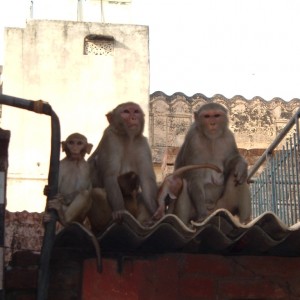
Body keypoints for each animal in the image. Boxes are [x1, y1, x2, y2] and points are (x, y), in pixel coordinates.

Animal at [88, 102, 158, 231]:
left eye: (136, 111)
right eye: (126, 112)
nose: (133, 118)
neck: (127, 137)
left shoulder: (142, 143)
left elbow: (146, 180)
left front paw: (157, 212)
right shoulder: (110, 138)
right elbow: (110, 175)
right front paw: (119, 210)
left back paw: (145, 222)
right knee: (97, 193)